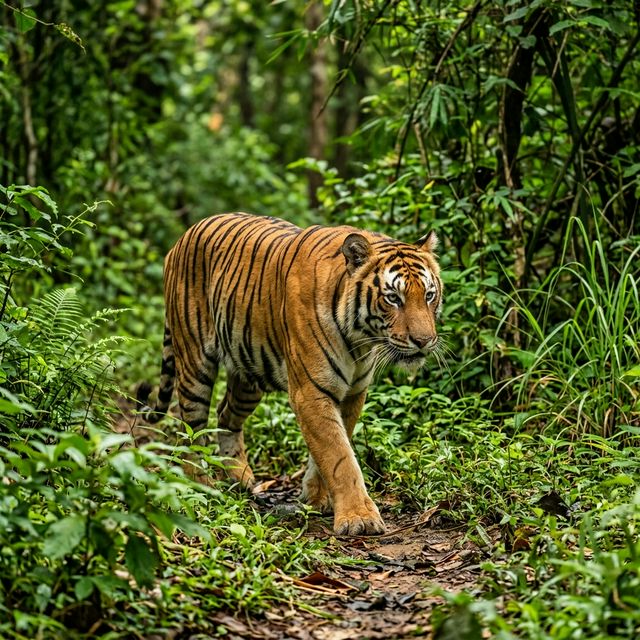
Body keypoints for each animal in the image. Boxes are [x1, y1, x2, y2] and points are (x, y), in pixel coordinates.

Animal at [137, 213, 443, 535]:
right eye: (393, 298)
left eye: (429, 295)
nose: (424, 341)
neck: (361, 338)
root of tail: (183, 237)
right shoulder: (311, 391)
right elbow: (339, 456)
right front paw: (358, 518)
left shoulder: (352, 393)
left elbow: (332, 448)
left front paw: (317, 498)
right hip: (195, 363)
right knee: (190, 429)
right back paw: (200, 486)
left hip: (248, 375)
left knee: (226, 416)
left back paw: (238, 476)